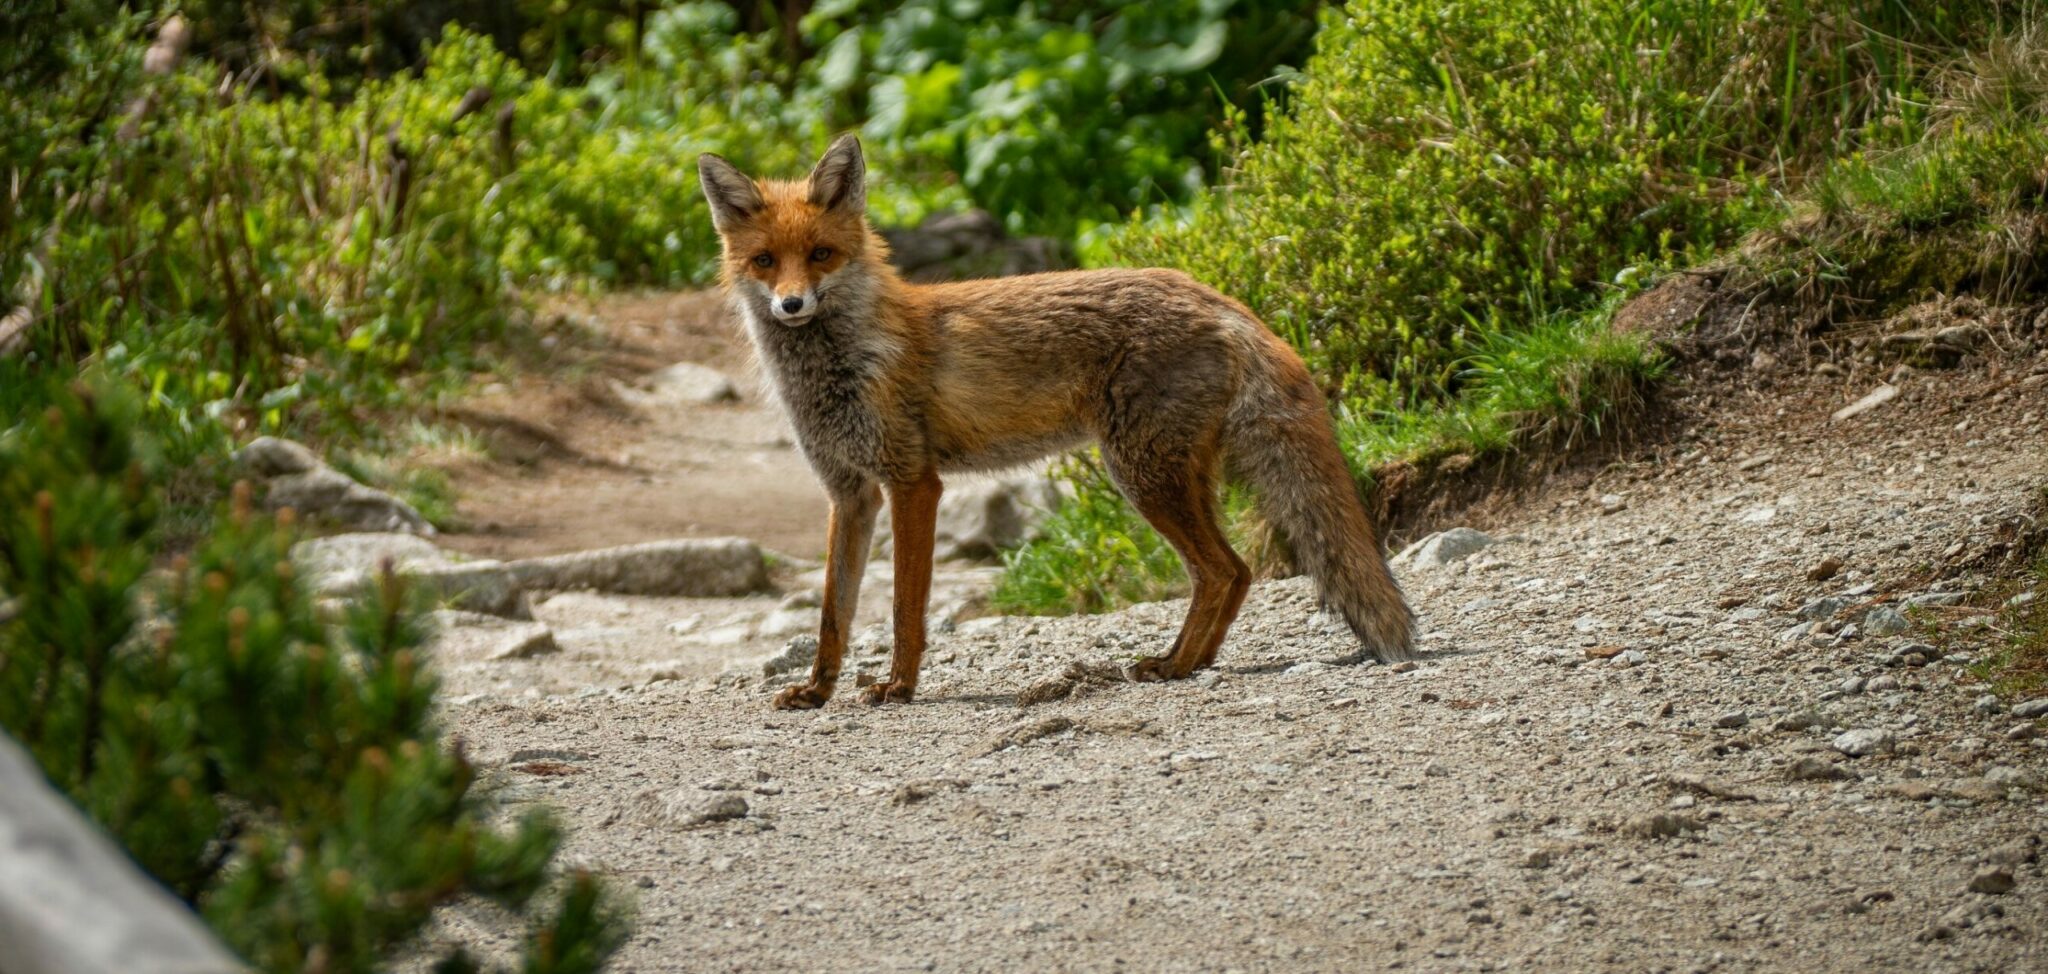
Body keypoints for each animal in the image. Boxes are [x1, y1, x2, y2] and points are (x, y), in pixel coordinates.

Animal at [696, 133, 1417, 707]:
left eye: (820, 254)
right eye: (765, 261)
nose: (791, 305)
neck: (842, 365)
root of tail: (1215, 295)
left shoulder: (913, 481)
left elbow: (905, 608)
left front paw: (898, 687)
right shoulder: (850, 494)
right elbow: (832, 613)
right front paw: (817, 691)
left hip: (1140, 474)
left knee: (1222, 569)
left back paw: (1177, 665)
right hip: (1172, 474)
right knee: (1236, 572)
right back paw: (1190, 661)